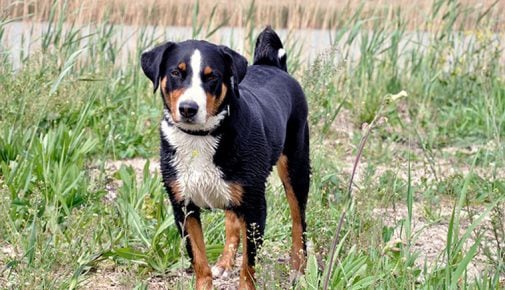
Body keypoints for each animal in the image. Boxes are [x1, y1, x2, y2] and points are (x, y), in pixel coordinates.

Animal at [140, 26, 310, 288]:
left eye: (212, 77)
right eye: (176, 72)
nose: (188, 108)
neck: (199, 139)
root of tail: (271, 65)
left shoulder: (254, 208)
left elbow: (248, 266)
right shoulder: (184, 208)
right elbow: (200, 262)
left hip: (296, 169)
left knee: (298, 222)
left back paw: (298, 269)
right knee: (232, 222)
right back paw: (224, 262)